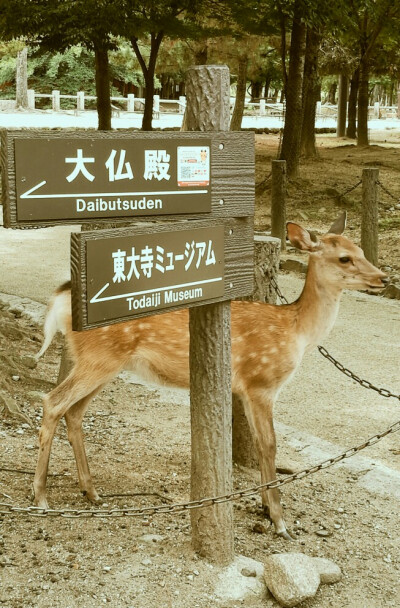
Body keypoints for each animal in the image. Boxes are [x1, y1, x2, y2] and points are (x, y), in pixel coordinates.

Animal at [33, 214, 388, 536]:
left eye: (360, 249)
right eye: (344, 257)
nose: (384, 278)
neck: (295, 331)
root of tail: (60, 299)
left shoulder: (245, 390)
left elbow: (259, 444)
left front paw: (264, 506)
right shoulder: (261, 382)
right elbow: (270, 444)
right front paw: (279, 521)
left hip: (103, 363)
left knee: (74, 412)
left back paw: (91, 491)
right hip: (99, 358)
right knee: (53, 402)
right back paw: (41, 498)